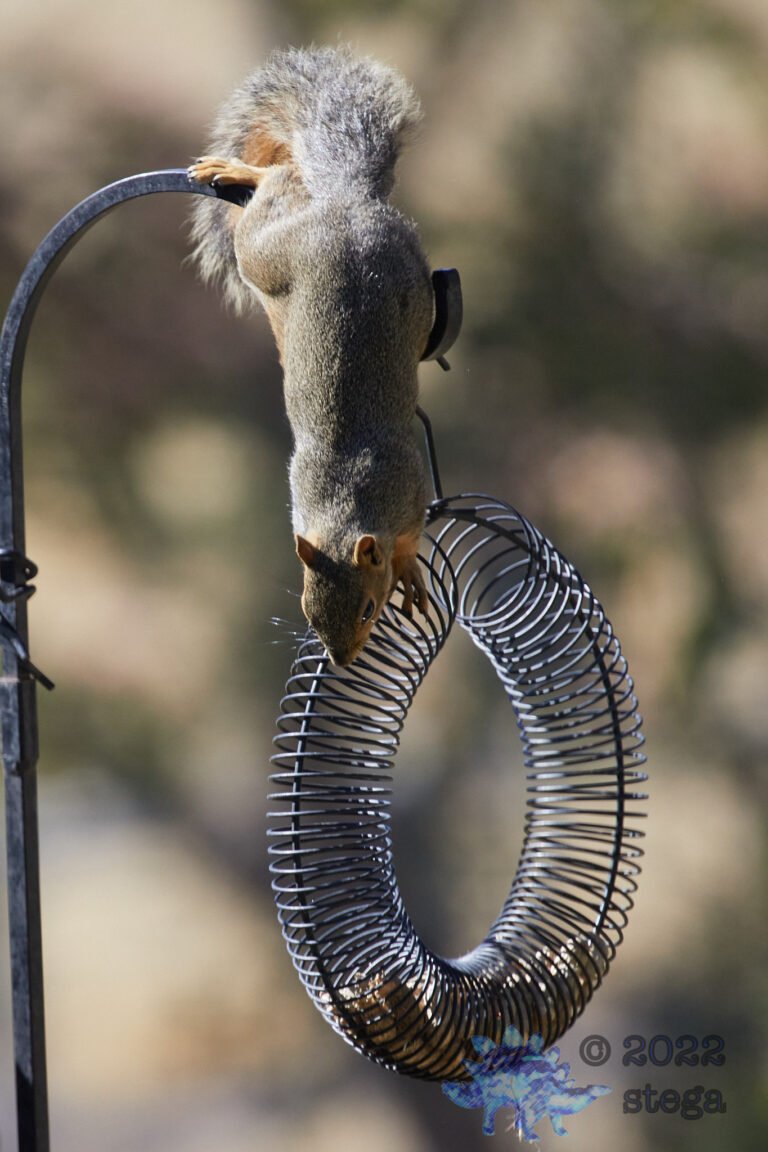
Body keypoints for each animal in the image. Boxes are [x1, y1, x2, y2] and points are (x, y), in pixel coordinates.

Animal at [188, 46, 434, 667]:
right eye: (307, 610)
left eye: (369, 610)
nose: (341, 661)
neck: (346, 505)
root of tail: (346, 203)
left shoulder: (412, 493)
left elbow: (410, 543)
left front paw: (408, 572)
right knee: (280, 179)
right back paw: (235, 172)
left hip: (268, 253)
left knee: (276, 183)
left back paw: (240, 172)